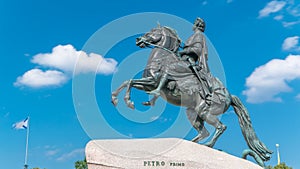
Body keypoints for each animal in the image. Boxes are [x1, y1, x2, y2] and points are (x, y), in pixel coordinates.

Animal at [110, 25, 272, 166]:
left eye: (153, 32)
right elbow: (127, 82)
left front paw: (130, 101)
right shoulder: (146, 85)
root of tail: (230, 97)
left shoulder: (154, 81)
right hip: (193, 113)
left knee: (221, 127)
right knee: (204, 131)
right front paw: (116, 99)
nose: (138, 40)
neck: (161, 58)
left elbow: (134, 82)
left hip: (204, 111)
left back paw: (208, 145)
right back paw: (193, 143)